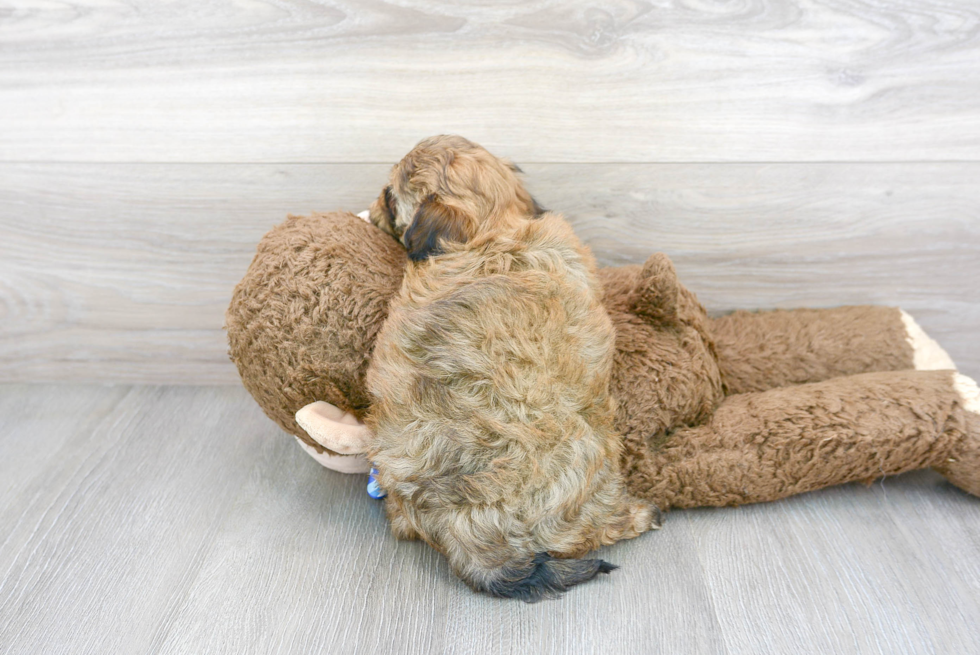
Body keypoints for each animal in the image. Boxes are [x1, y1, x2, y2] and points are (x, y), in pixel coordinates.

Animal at [364, 136, 656, 604]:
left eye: (390, 198)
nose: (372, 208)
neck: (493, 229)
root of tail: (458, 522)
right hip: (591, 459)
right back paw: (640, 516)